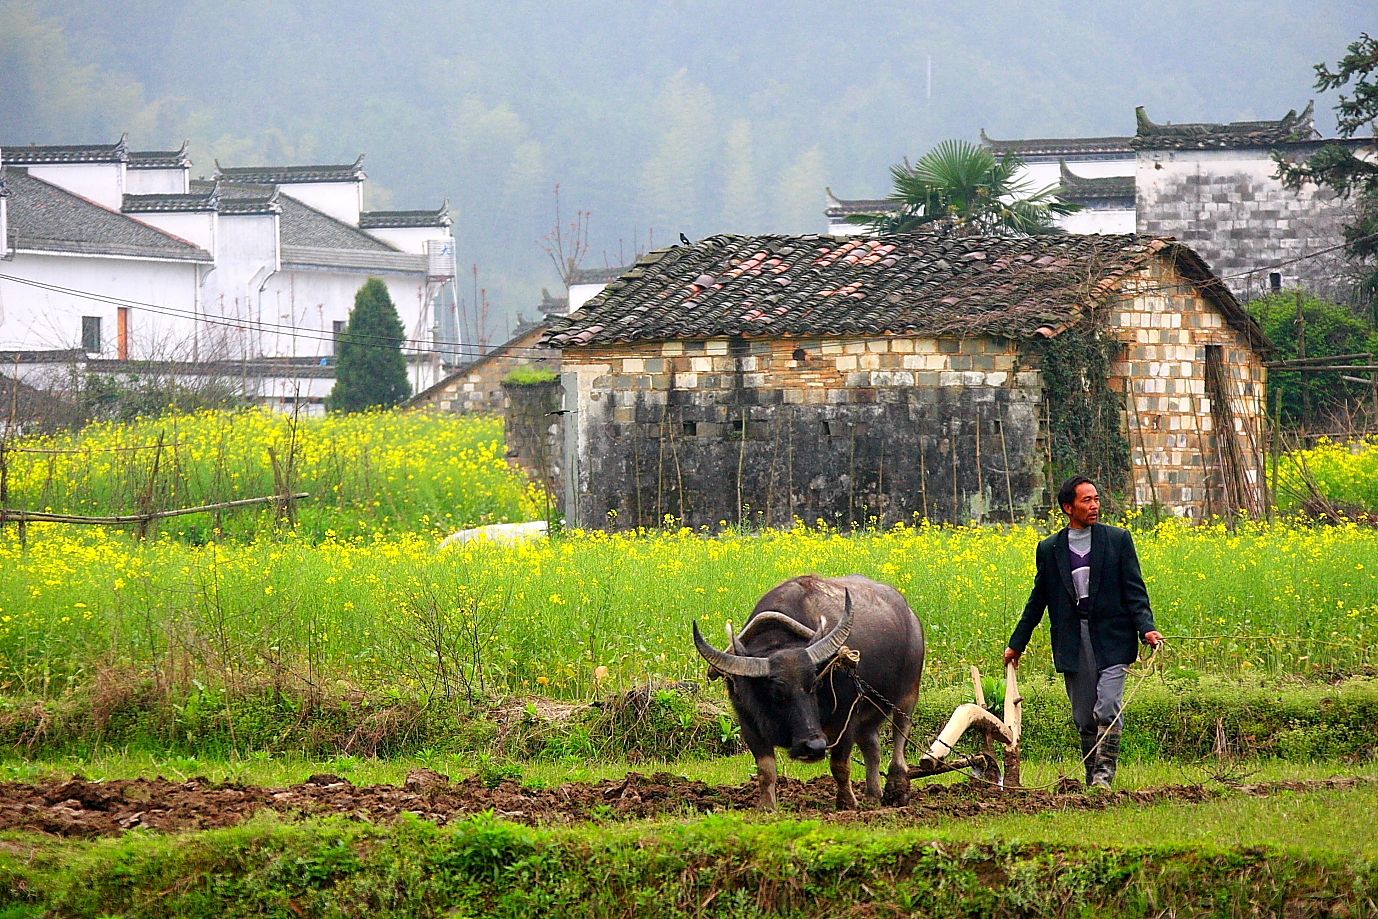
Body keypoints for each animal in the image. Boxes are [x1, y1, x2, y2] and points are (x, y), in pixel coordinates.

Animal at [689, 578, 926, 810]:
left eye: (814, 684)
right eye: (777, 693)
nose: (814, 747)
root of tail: (910, 613)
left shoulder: (846, 718)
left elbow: (840, 765)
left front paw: (846, 803)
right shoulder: (748, 723)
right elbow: (766, 770)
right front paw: (766, 806)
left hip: (908, 692)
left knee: (900, 733)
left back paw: (897, 789)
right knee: (872, 746)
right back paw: (872, 796)